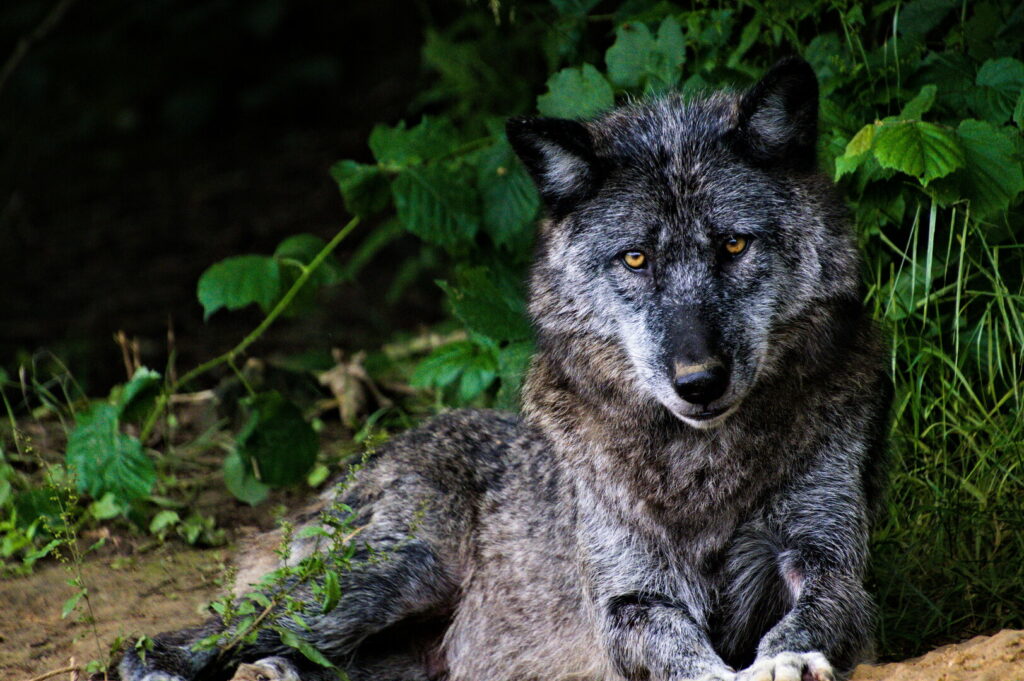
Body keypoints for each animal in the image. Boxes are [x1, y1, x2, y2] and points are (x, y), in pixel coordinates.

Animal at [117, 58, 888, 679]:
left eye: (732, 245)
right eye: (635, 258)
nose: (699, 381)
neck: (701, 463)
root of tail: (379, 453)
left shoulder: (827, 560)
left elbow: (812, 614)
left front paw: (786, 658)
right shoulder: (631, 598)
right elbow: (686, 656)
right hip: (379, 581)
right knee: (169, 643)